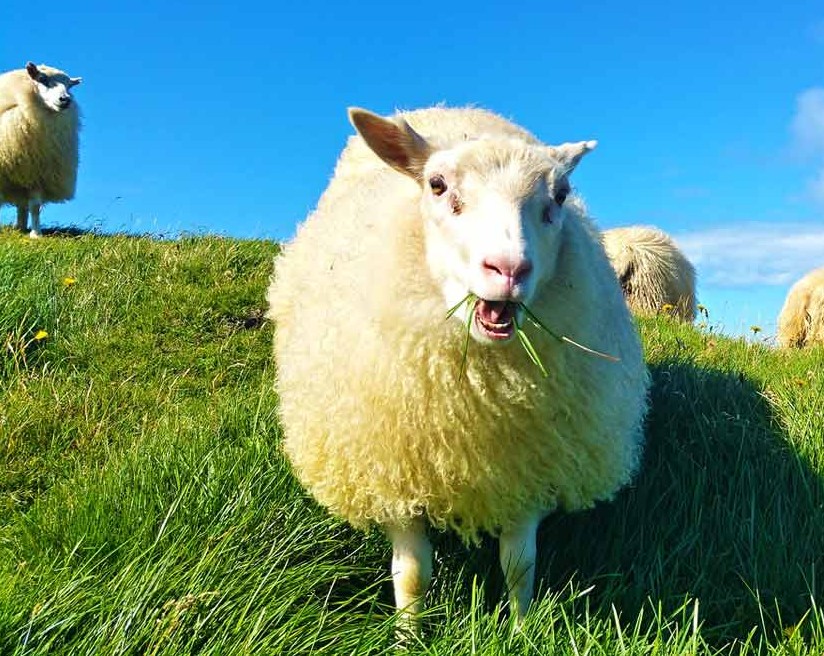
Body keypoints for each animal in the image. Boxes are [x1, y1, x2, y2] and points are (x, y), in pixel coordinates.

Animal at [0, 62, 82, 238]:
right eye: (42, 79)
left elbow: (35, 206)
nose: (65, 99)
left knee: (22, 205)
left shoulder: (39, 172)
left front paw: (36, 234)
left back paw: (21, 227)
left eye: (69, 86)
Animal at [268, 106, 650, 633]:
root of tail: (453, 108)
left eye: (559, 195)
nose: (508, 269)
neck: (477, 398)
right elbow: (412, 574)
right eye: (437, 185)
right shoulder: (392, 467)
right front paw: (408, 635)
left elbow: (519, 565)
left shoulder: (528, 465)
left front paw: (521, 631)